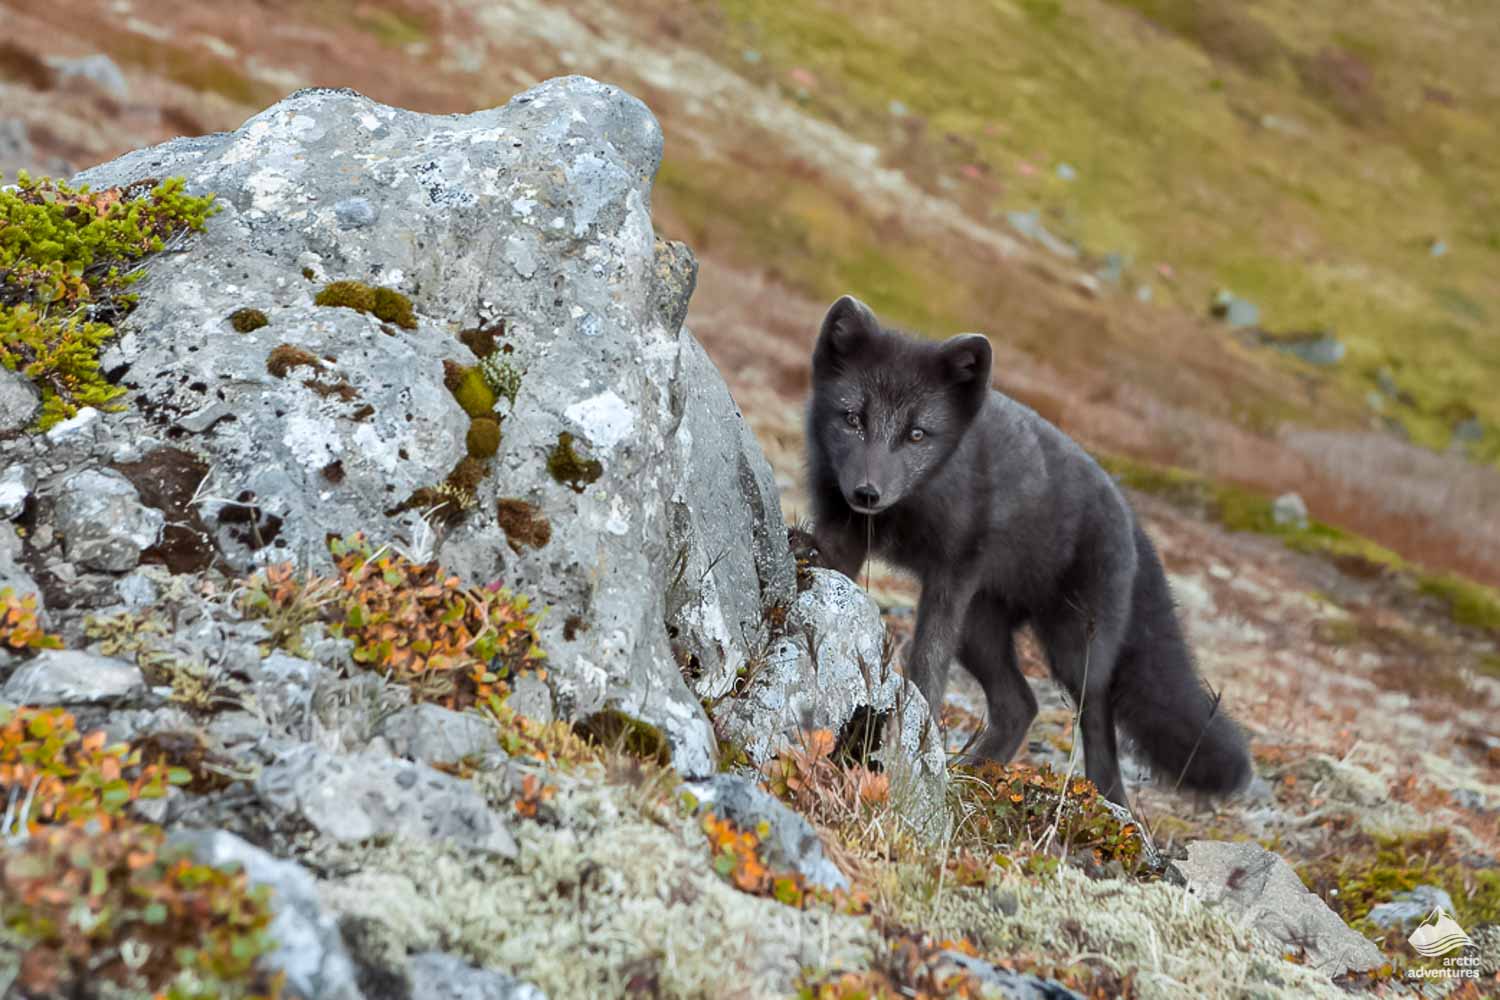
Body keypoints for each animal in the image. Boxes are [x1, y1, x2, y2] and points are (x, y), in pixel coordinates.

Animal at [806, 295, 1251, 806]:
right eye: (853, 419)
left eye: (917, 434)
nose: (866, 493)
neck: (913, 504)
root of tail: (1129, 513)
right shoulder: (843, 534)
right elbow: (837, 574)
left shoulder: (952, 574)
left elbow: (928, 662)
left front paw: (918, 727)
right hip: (980, 630)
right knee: (1021, 704)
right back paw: (974, 771)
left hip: (1075, 647)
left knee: (1098, 720)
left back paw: (1107, 799)